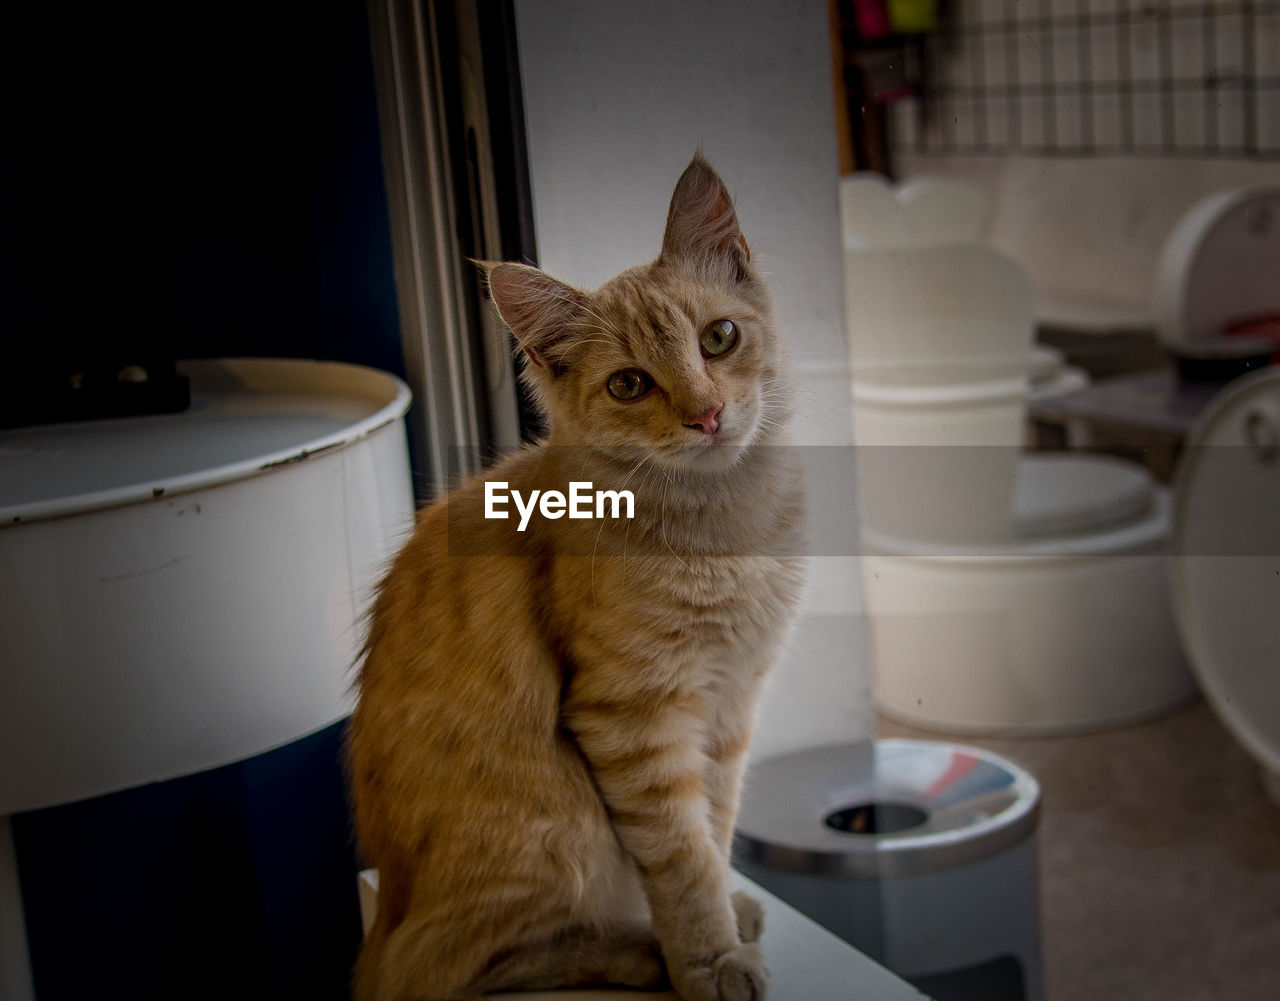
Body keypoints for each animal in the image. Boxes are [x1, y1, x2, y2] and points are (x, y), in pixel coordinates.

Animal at [345, 154, 803, 1001]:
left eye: (719, 338)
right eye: (628, 385)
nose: (706, 414)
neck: (724, 527)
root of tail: (384, 907)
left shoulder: (729, 707)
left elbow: (716, 829)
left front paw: (727, 911)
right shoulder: (632, 716)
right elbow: (684, 860)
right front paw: (708, 958)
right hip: (554, 830)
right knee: (447, 965)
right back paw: (638, 952)